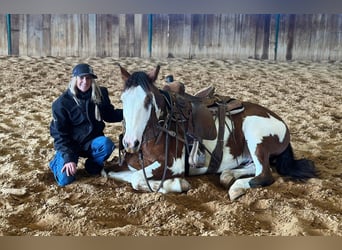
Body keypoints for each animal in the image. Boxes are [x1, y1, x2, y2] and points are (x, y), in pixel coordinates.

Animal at [104, 65, 318, 201]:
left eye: (148, 99)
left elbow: (136, 178)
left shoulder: (173, 164)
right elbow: (113, 172)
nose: (130, 143)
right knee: (253, 167)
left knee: (265, 174)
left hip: (254, 133)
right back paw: (229, 175)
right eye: (122, 99)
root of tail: (280, 122)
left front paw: (175, 184)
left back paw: (236, 188)